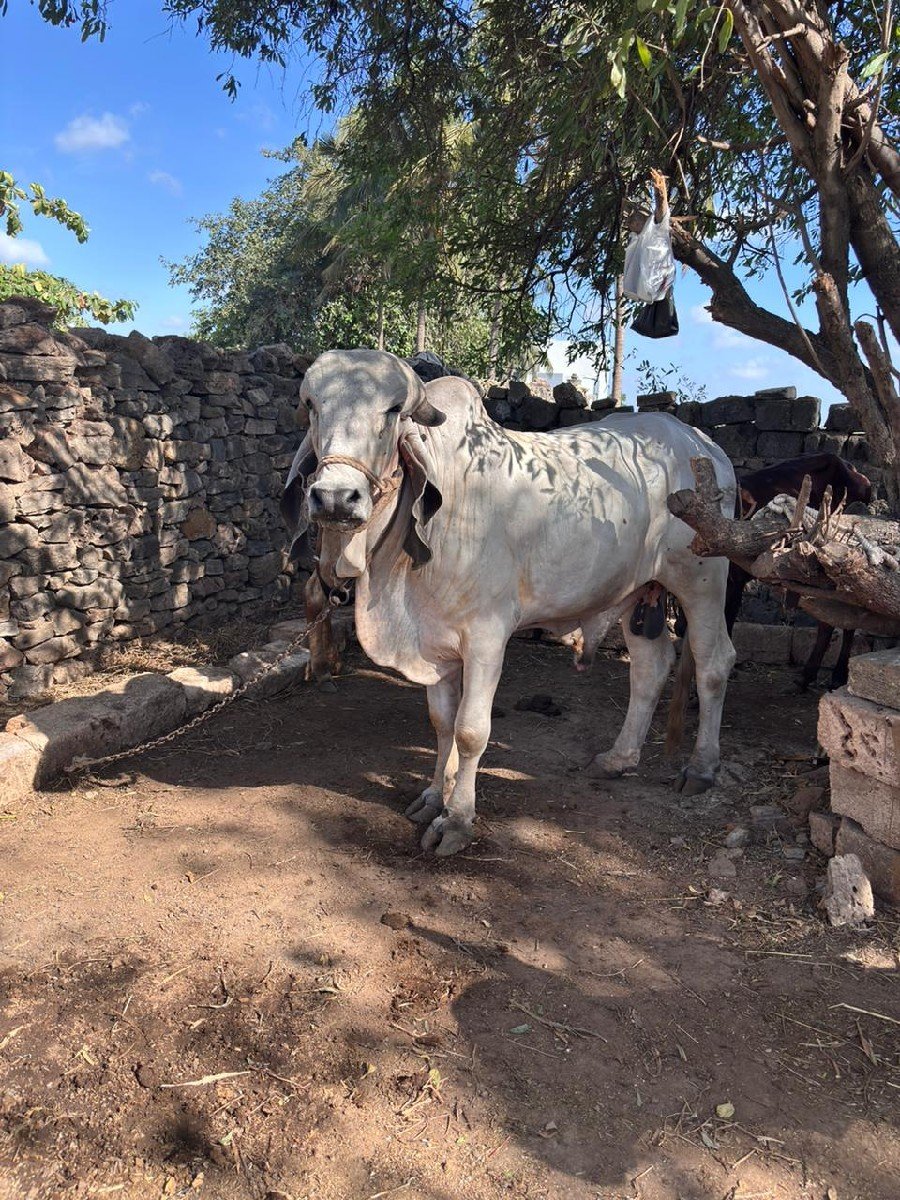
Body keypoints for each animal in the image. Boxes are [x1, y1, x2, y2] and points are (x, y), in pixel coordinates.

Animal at [282, 349, 737, 857]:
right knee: (650, 668)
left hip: (703, 578)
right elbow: (442, 722)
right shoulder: (435, 643)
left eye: (394, 411)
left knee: (714, 663)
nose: (335, 498)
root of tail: (700, 441)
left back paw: (701, 767)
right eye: (312, 406)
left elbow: (470, 730)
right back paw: (619, 758)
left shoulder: (486, 637)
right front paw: (433, 795)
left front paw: (457, 819)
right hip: (637, 590)